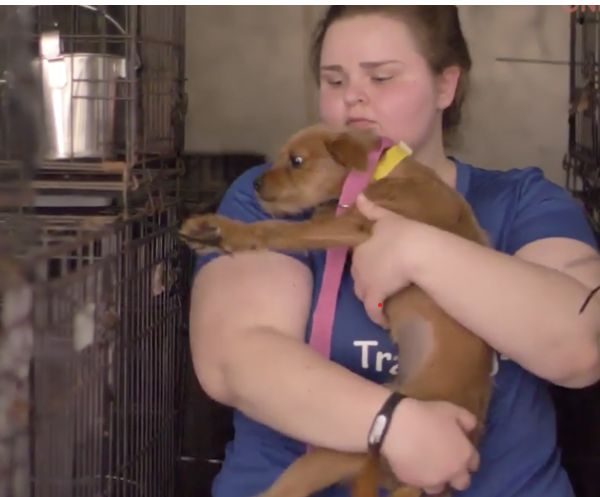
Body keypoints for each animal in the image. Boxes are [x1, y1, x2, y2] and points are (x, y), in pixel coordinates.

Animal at [180, 123, 494, 496]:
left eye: (296, 161)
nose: (255, 184)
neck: (380, 170)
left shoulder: (353, 225)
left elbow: (278, 229)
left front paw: (222, 231)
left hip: (335, 453)